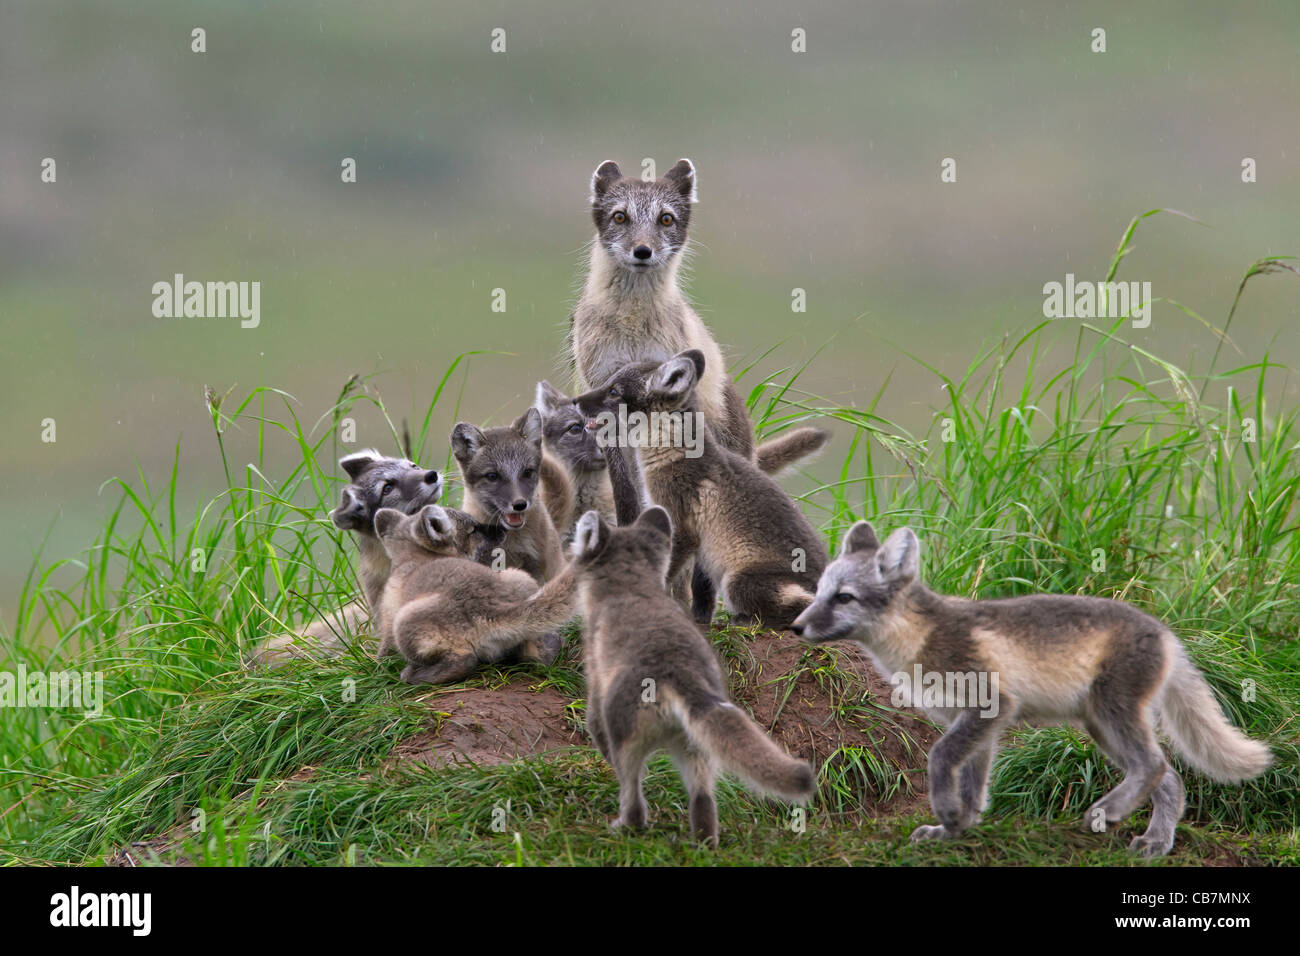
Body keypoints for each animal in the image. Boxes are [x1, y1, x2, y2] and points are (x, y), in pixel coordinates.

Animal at [572, 509, 811, 842]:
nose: (586, 517)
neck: (634, 586)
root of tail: (682, 677)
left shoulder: (595, 674)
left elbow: (594, 722)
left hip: (627, 734)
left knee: (633, 795)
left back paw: (625, 825)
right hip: (698, 748)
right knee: (703, 798)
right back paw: (703, 841)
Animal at [785, 522, 1274, 858]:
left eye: (844, 598)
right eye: (820, 591)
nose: (795, 627)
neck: (919, 636)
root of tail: (1167, 632)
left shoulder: (991, 705)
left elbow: (940, 757)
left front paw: (945, 812)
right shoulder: (980, 724)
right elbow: (974, 787)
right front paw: (955, 830)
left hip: (1113, 716)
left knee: (1154, 766)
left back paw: (1110, 813)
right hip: (1102, 729)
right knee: (1169, 777)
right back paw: (1156, 842)